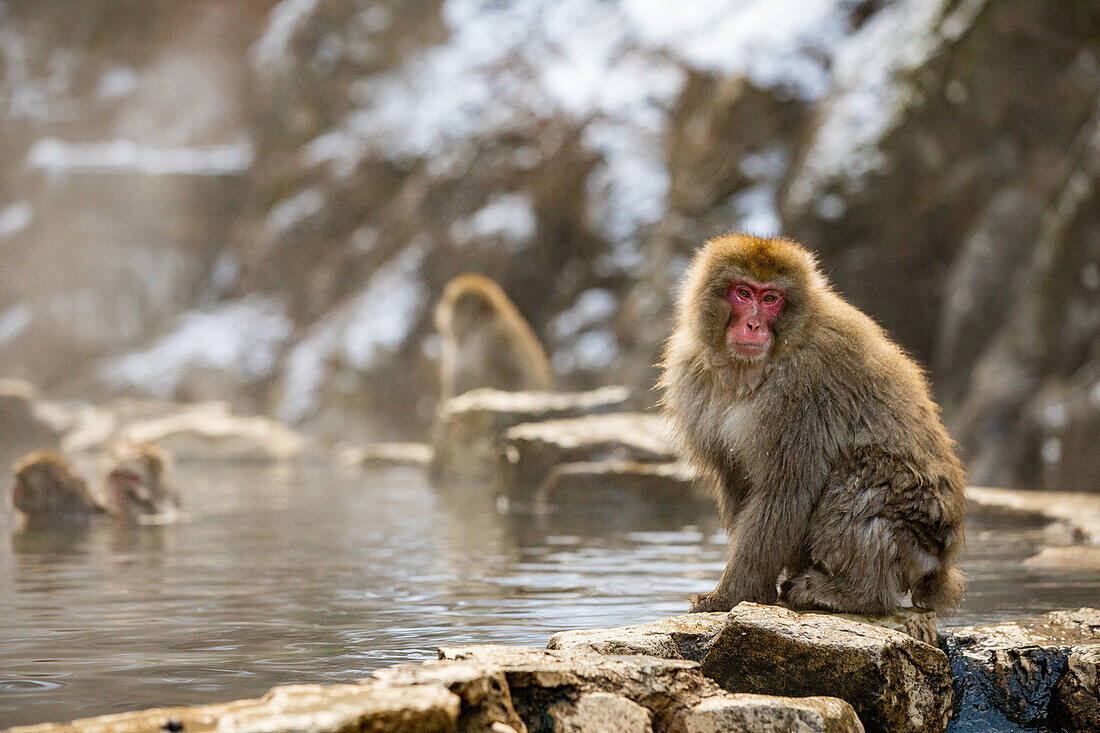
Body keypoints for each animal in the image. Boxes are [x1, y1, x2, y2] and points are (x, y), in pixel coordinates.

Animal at [660, 234, 963, 611]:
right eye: (743, 293)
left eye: (771, 298)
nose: (753, 325)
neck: (754, 368)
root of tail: (942, 566)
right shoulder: (691, 372)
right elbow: (736, 480)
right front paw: (758, 591)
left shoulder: (802, 391)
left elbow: (785, 491)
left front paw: (730, 595)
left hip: (916, 523)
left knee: (857, 479)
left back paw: (854, 593)